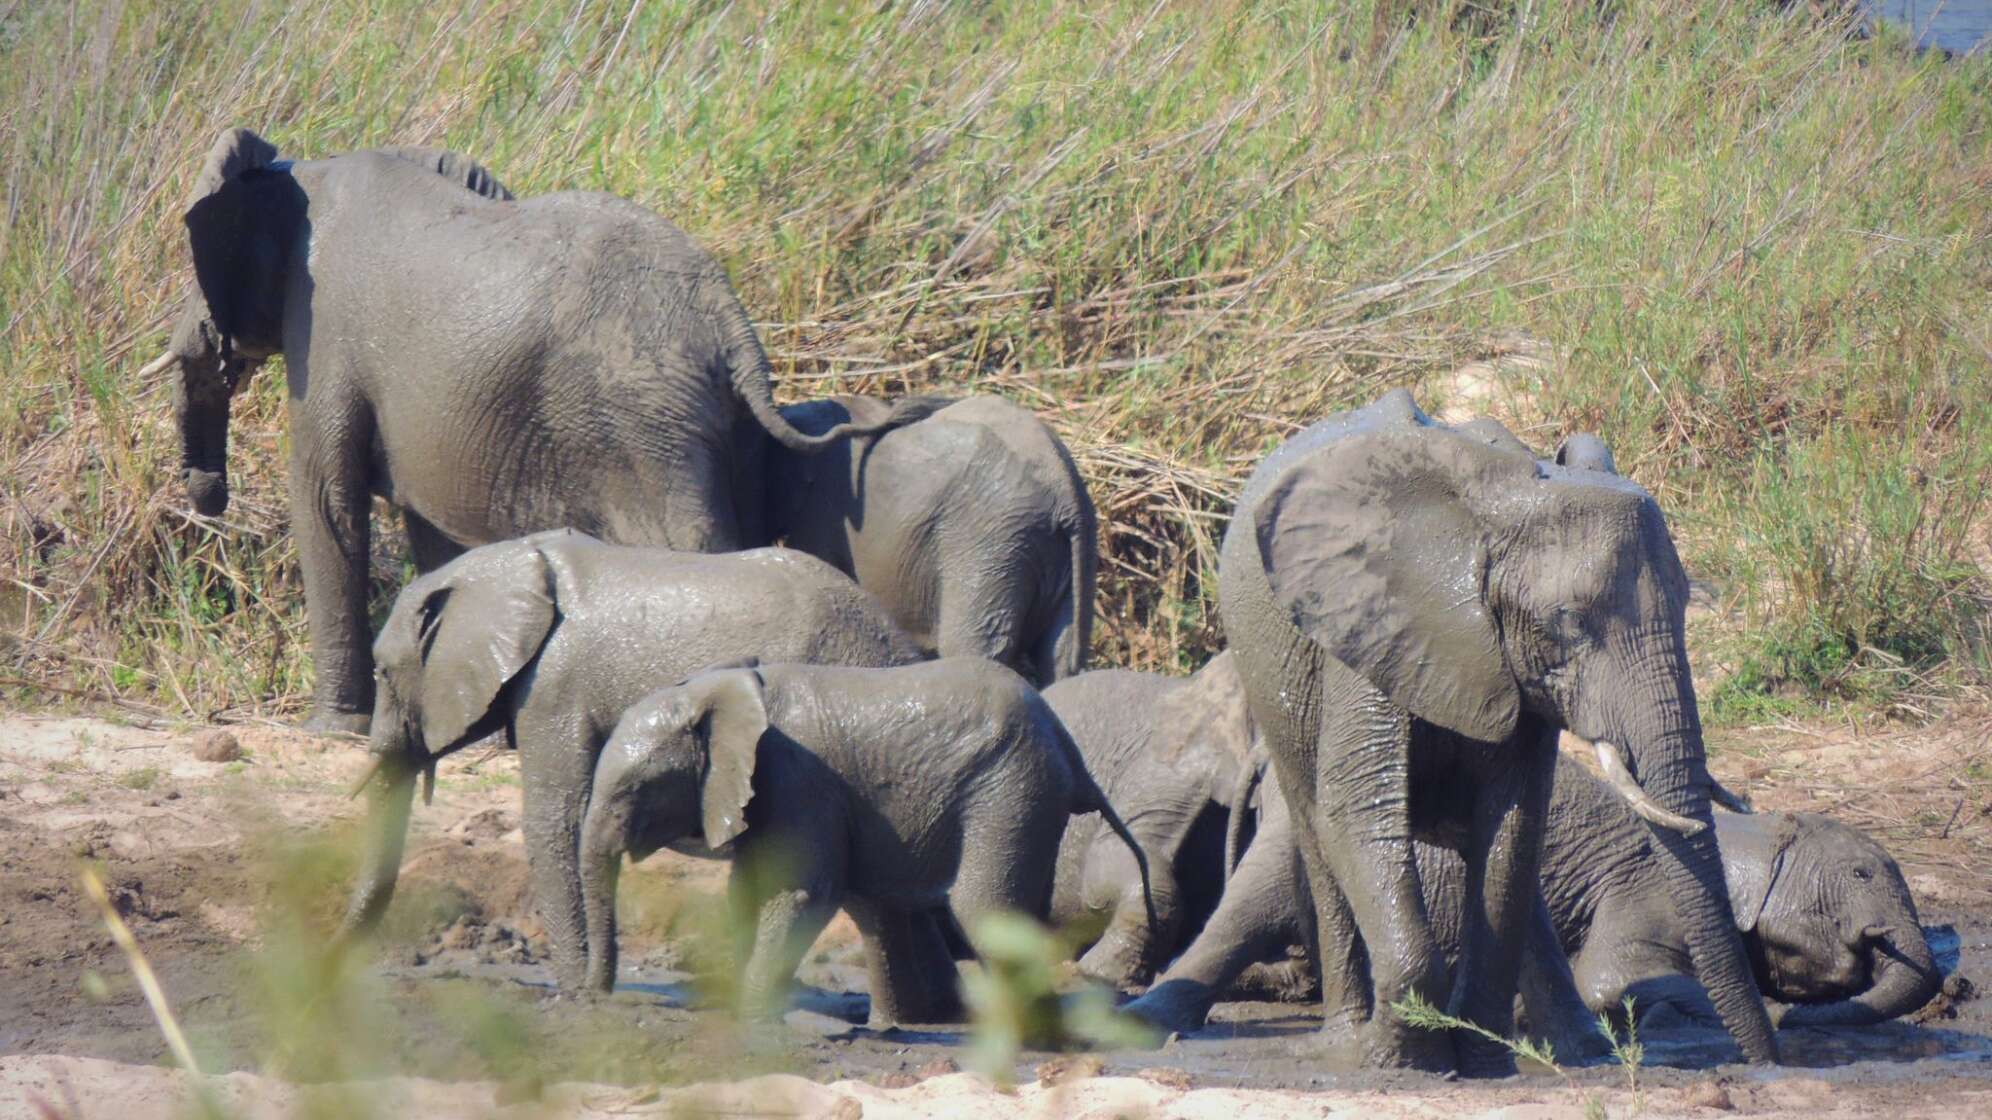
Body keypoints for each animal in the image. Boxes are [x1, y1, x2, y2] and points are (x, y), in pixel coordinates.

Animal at [145, 128, 924, 733]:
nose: (209, 496)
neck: (305, 167)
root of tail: (732, 323)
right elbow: (434, 530)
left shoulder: (326, 330)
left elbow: (327, 500)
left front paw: (331, 730)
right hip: (721, 428)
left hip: (649, 426)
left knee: (694, 545)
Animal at [577, 657, 1155, 1028]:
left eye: (635, 789)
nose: (595, 997)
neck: (714, 691)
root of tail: (1066, 745)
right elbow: (746, 892)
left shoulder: (798, 780)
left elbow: (802, 894)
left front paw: (752, 1017)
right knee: (884, 904)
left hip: (1012, 788)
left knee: (982, 908)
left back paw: (1041, 1042)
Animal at [764, 392, 1107, 689]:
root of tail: (1064, 487)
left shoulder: (824, 510)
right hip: (1070, 550)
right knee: (1060, 658)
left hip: (993, 542)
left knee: (974, 647)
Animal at [1219, 390, 1784, 1076]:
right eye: (1568, 621)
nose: (1763, 1061)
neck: (1496, 509)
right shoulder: (1365, 623)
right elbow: (1358, 810)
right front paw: (1403, 1060)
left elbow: (1512, 822)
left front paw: (1480, 1056)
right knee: (1316, 830)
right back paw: (1344, 1042)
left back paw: (1576, 1049)